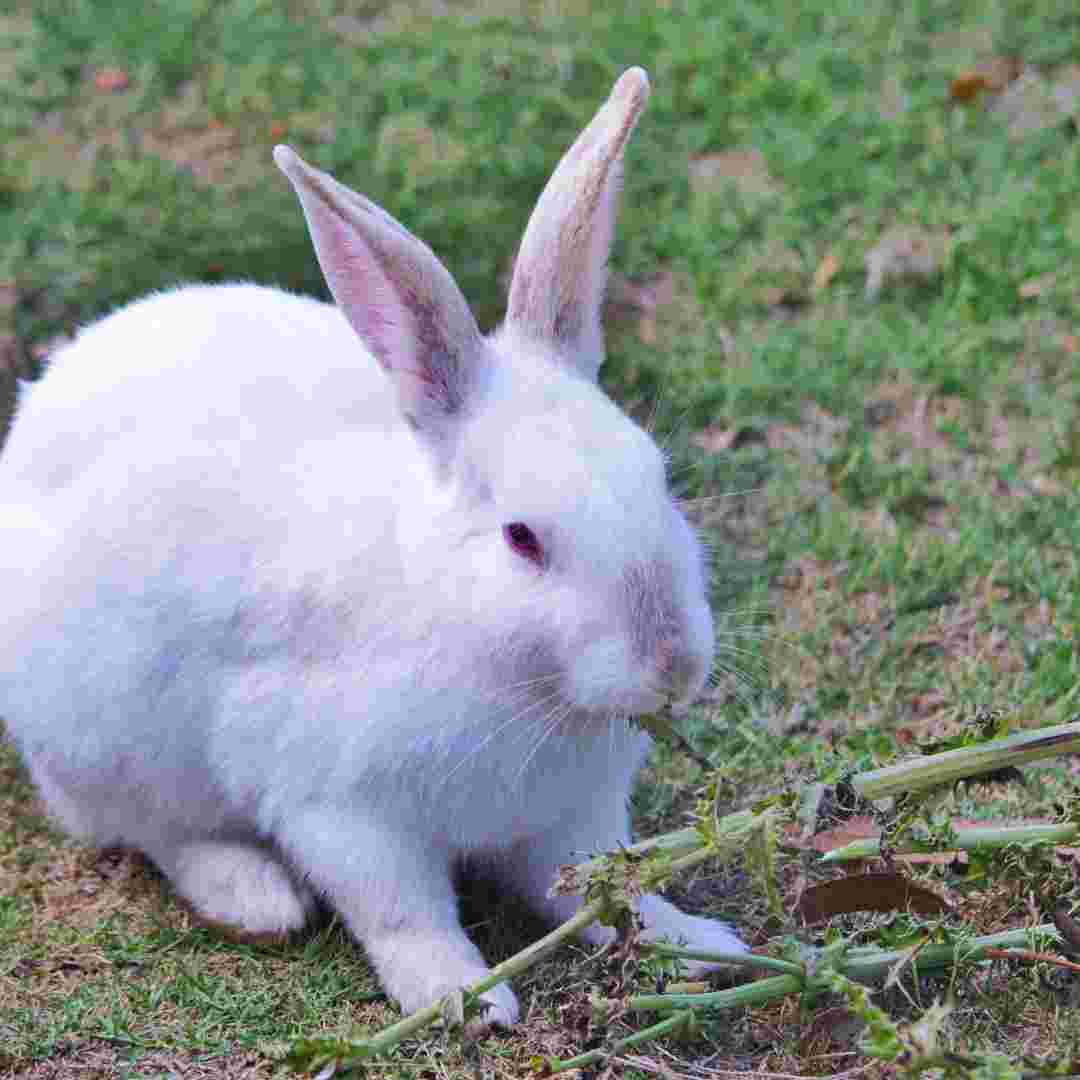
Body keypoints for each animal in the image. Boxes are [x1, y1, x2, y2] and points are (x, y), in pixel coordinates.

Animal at [0, 71, 743, 1023]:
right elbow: (403, 914)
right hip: (105, 743)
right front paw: (463, 997)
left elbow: (604, 889)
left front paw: (701, 942)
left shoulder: (570, 817)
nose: (672, 665)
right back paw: (255, 895)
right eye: (522, 538)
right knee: (156, 832)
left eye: (659, 476)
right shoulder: (345, 814)